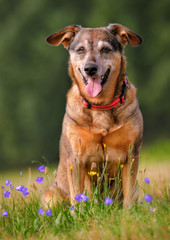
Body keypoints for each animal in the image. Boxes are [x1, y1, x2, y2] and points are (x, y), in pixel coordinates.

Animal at [41, 23, 143, 208]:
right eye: (80, 49)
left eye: (105, 49)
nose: (90, 69)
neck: (100, 106)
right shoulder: (76, 158)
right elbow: (78, 195)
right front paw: (78, 213)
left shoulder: (131, 154)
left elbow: (129, 194)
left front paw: (128, 213)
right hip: (51, 197)